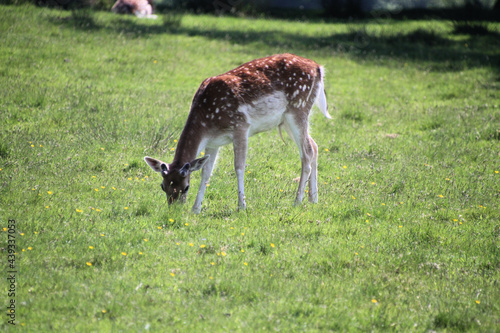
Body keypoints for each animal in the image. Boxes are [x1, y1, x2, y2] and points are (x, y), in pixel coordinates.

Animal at [145, 52, 330, 213]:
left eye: (186, 187)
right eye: (163, 186)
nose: (174, 210)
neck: (207, 121)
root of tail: (318, 68)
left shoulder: (240, 126)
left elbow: (239, 167)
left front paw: (242, 206)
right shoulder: (213, 143)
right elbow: (206, 173)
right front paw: (196, 209)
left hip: (298, 107)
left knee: (307, 152)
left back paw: (297, 201)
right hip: (286, 120)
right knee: (314, 146)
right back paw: (313, 199)